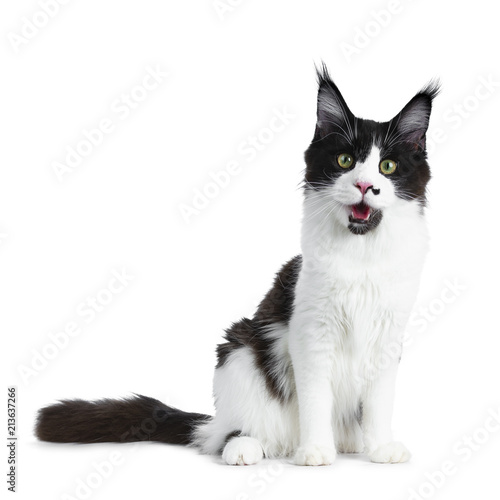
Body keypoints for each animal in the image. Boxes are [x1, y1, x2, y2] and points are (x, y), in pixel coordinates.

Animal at [37, 65, 440, 464]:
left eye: (387, 166)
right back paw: (251, 447)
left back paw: (348, 444)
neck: (362, 254)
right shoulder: (311, 334)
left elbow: (379, 404)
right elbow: (315, 400)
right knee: (233, 433)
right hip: (240, 350)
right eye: (345, 161)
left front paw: (381, 447)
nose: (365, 186)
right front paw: (314, 451)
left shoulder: (388, 337)